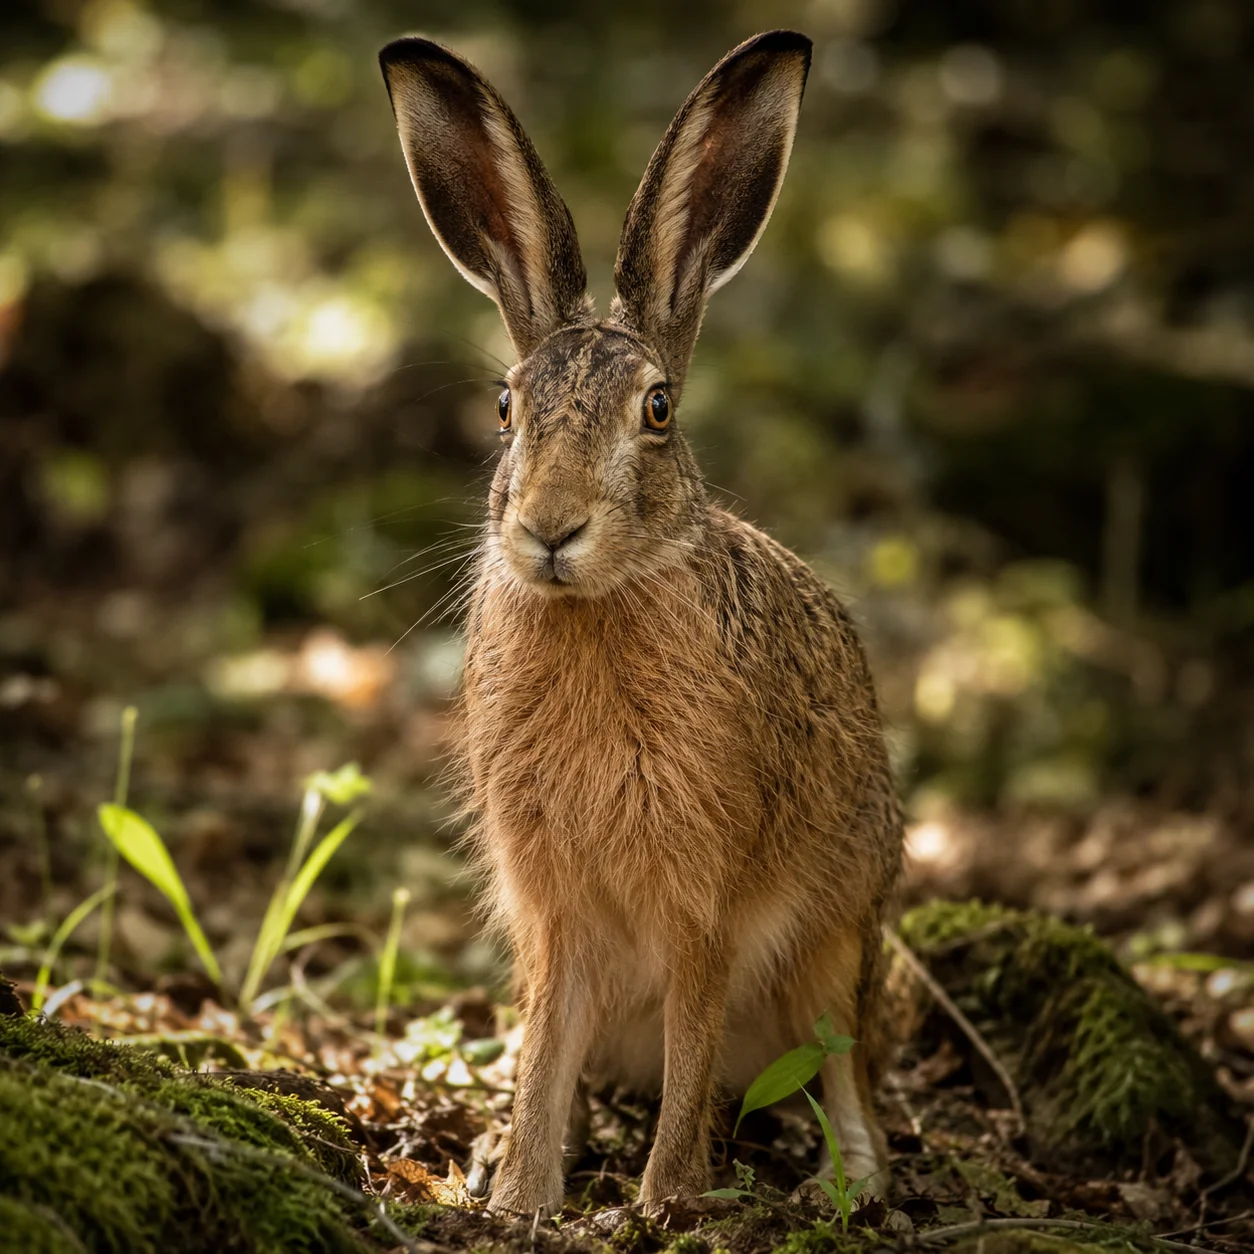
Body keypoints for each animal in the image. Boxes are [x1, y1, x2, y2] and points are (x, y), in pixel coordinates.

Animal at [379, 30, 904, 1217]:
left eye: (658, 411)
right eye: (505, 409)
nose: (550, 529)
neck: (596, 607)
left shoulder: (704, 894)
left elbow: (693, 1038)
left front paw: (665, 1202)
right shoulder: (555, 906)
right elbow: (546, 1045)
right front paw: (521, 1199)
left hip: (837, 938)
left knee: (838, 1063)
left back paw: (850, 1183)